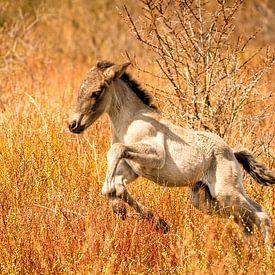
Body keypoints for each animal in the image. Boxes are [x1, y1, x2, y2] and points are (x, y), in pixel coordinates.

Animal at [68, 61, 274, 243]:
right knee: (246, 222)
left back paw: (263, 255)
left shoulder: (156, 156)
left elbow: (115, 152)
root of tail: (231, 151)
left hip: (226, 192)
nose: (73, 124)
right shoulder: (131, 169)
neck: (129, 123)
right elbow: (114, 184)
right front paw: (155, 221)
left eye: (96, 92)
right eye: (80, 90)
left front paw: (120, 205)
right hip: (204, 200)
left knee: (261, 215)